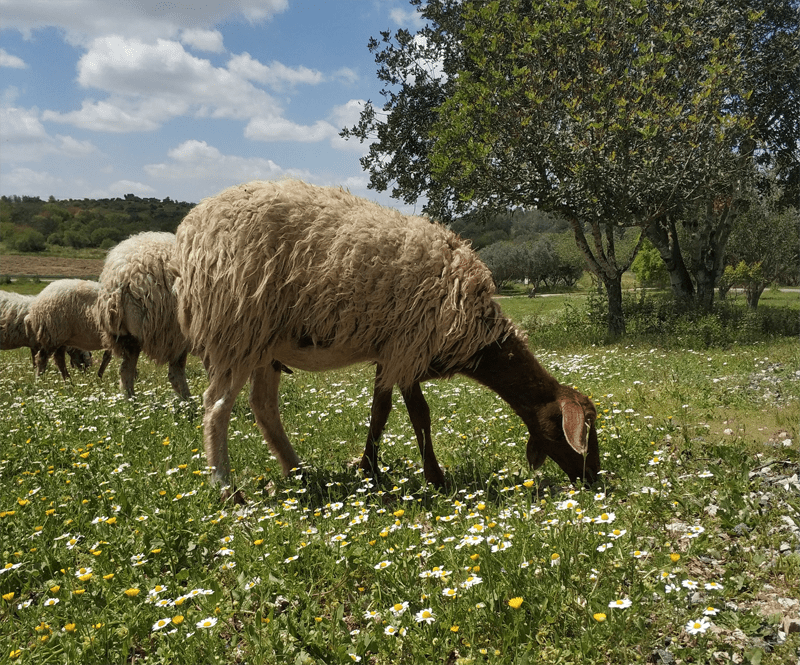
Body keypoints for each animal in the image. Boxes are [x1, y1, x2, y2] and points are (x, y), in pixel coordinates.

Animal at [94, 232, 191, 400]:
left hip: (128, 337)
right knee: (176, 371)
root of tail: (122, 277)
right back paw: (188, 401)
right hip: (172, 333)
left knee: (126, 369)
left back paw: (131, 400)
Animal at [173, 179, 600, 496]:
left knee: (263, 407)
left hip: (265, 343)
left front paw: (369, 468)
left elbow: (380, 410)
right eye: (585, 427)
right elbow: (419, 415)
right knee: (216, 409)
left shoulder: (392, 350)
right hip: (236, 327)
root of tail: (192, 230)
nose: (594, 478)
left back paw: (298, 472)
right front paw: (436, 478)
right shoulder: (411, 344)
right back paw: (227, 489)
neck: (478, 333)